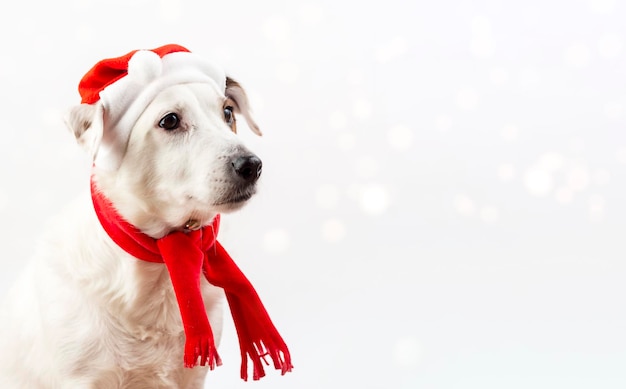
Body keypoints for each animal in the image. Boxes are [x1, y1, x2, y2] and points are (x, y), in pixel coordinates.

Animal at [0, 44, 290, 386]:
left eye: (228, 112)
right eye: (170, 120)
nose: (251, 166)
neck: (163, 259)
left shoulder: (192, 376)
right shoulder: (82, 377)